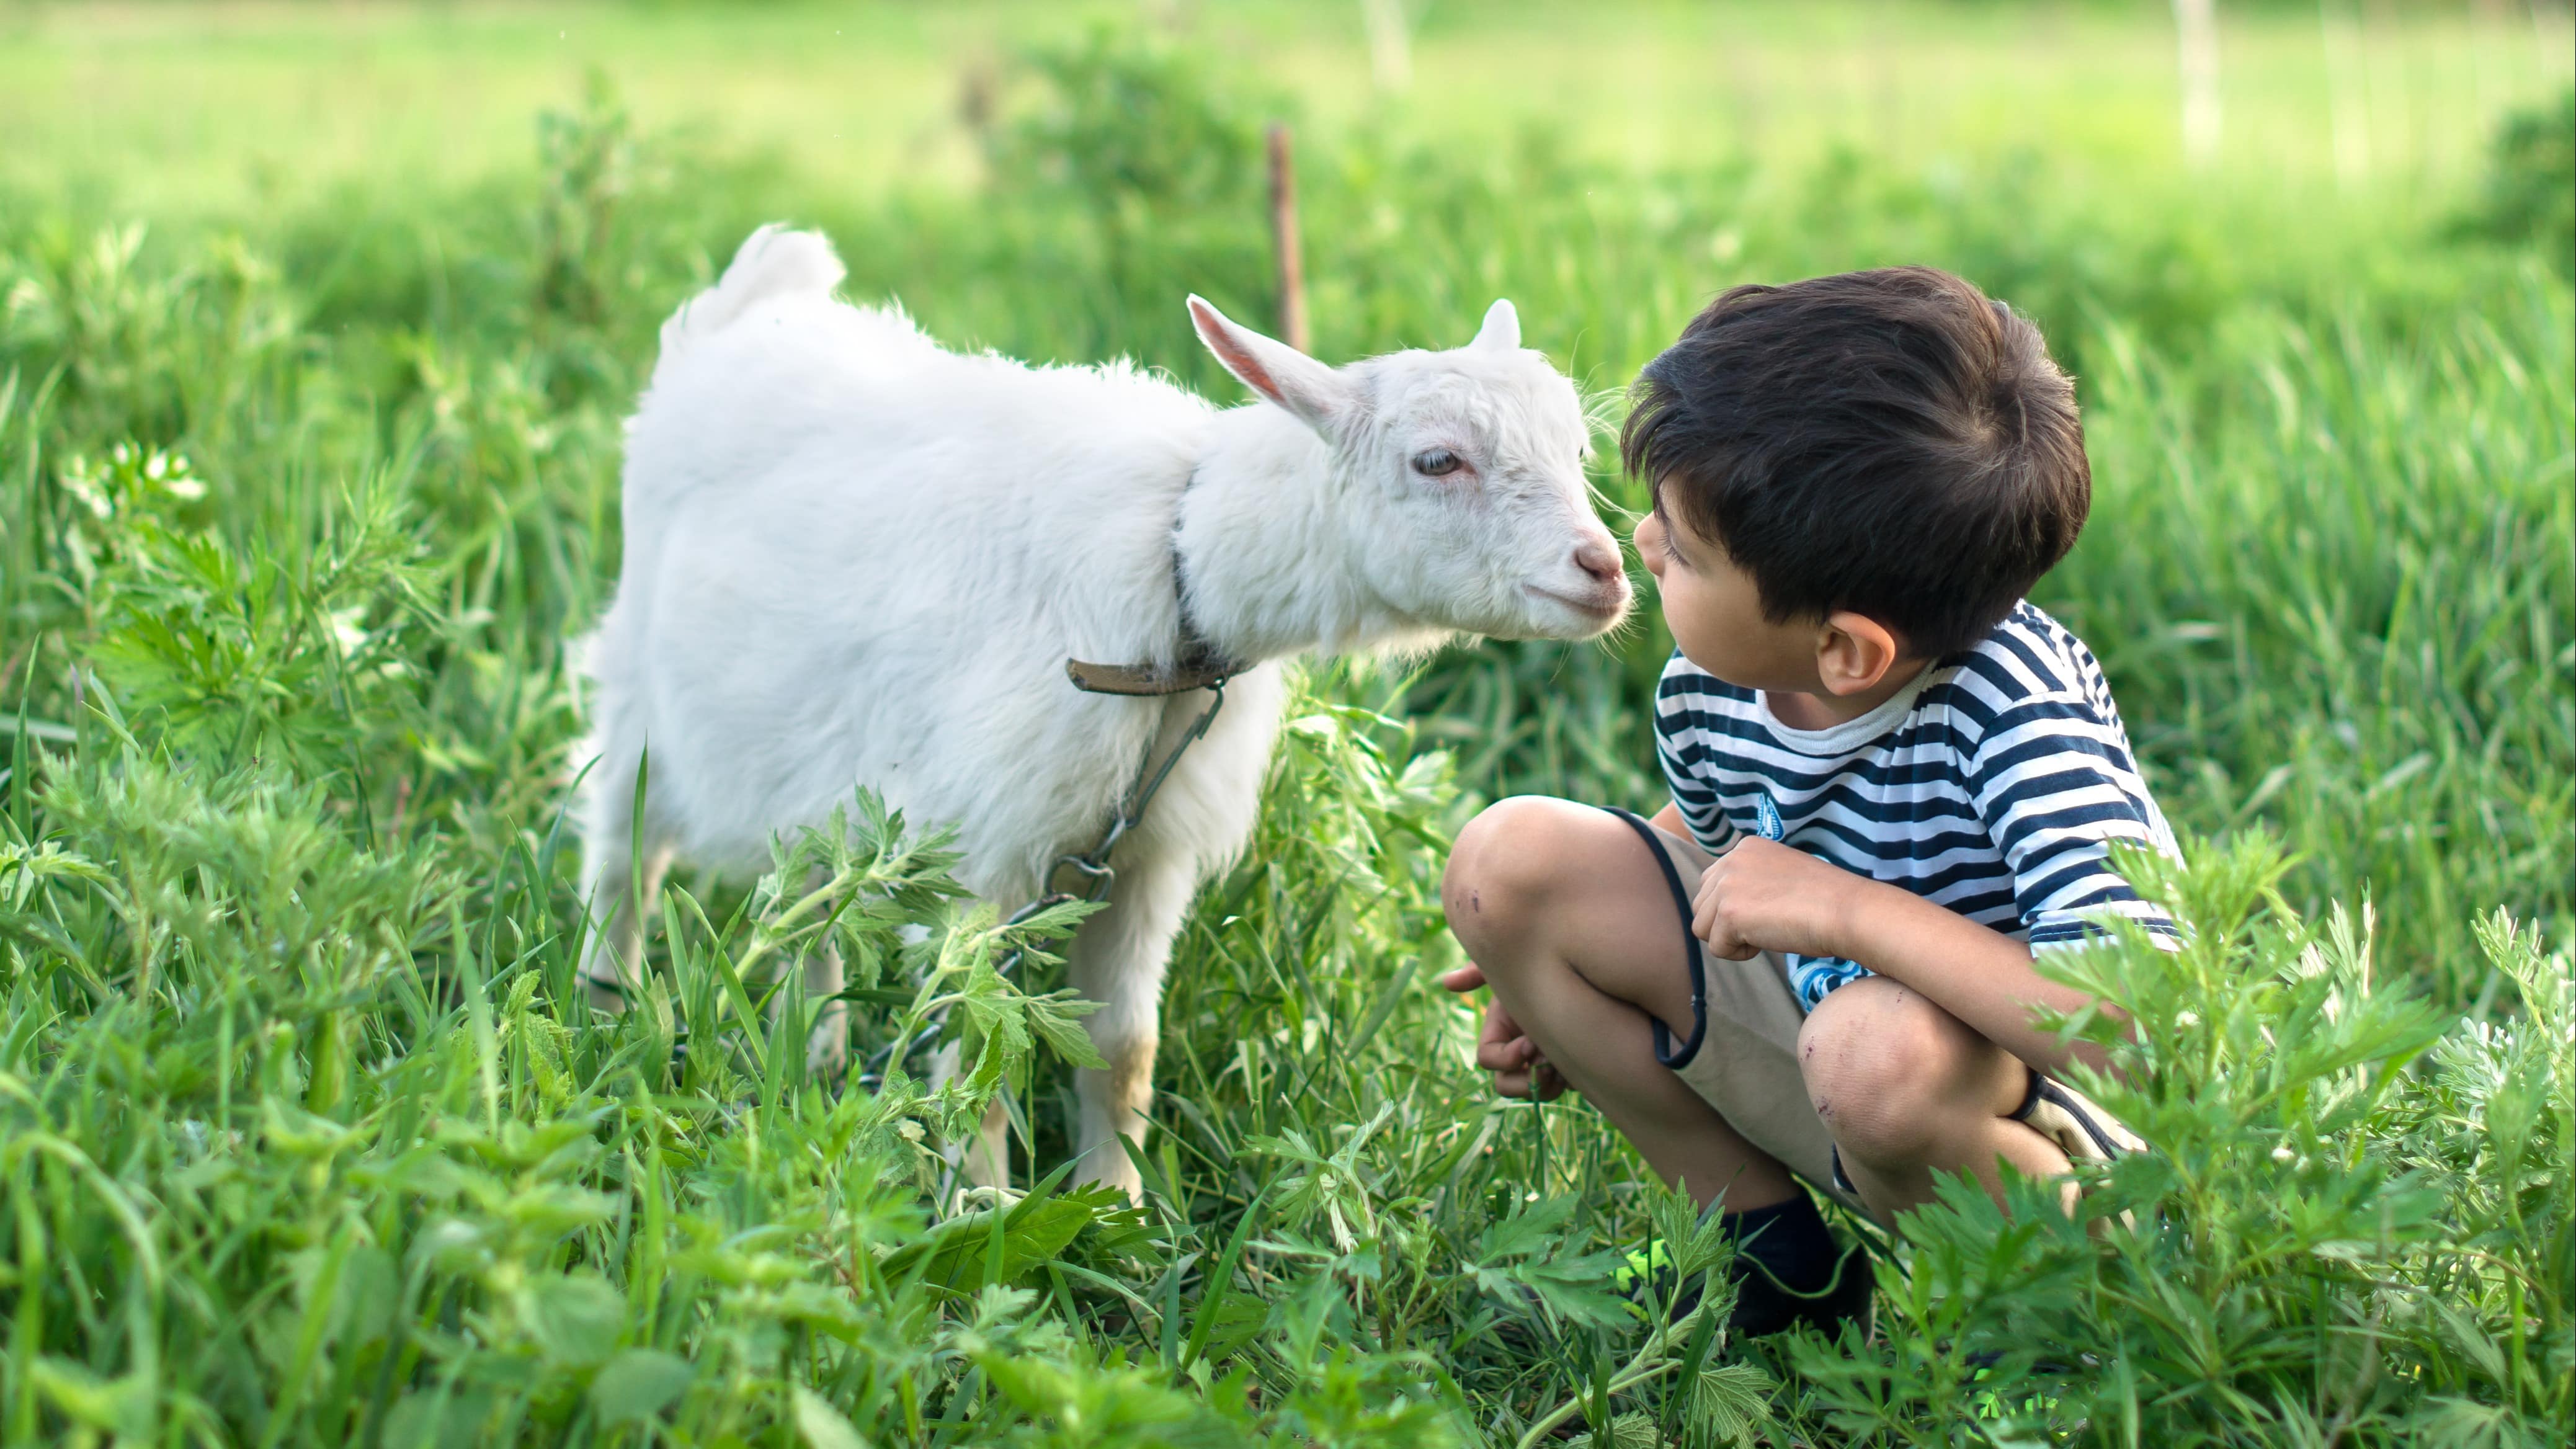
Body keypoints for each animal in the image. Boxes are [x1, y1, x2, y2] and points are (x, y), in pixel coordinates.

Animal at [584, 228, 1628, 1196]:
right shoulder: (990, 847)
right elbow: (984, 1049)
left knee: (813, 910)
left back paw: (819, 1057)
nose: (1605, 571)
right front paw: (986, 1206)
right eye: (1436, 460)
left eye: (1578, 451)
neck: (1177, 574)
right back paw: (607, 1008)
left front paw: (1115, 1209)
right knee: (620, 860)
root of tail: (749, 304)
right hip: (639, 695)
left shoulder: (1145, 854)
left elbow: (1125, 1046)